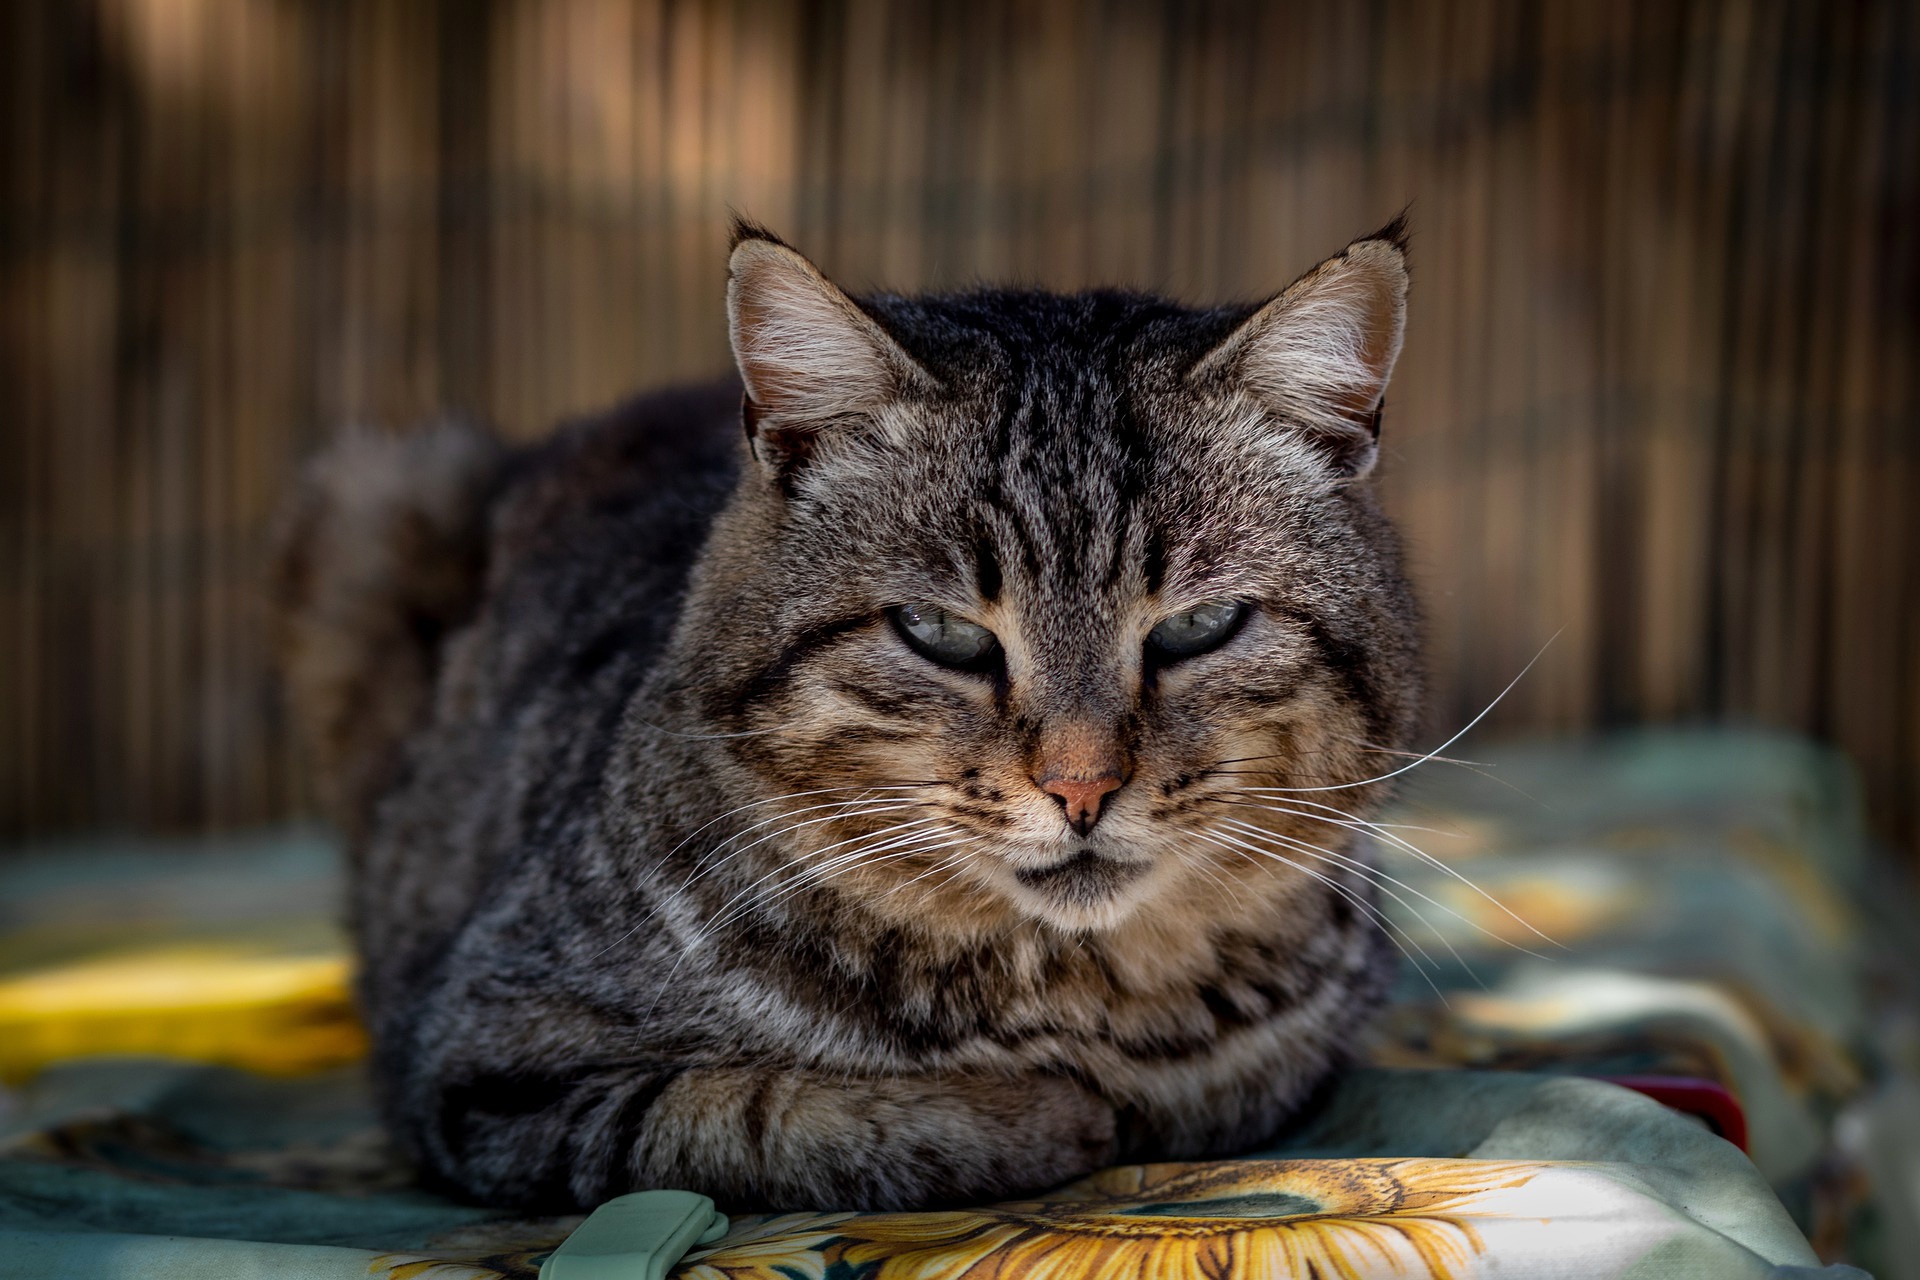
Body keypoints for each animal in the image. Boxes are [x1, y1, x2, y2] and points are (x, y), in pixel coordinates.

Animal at [280, 217, 1428, 1212]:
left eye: (1198, 627)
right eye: (941, 632)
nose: (1082, 786)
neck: (1068, 1000)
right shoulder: (484, 1065)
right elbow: (747, 1115)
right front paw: (1032, 1114)